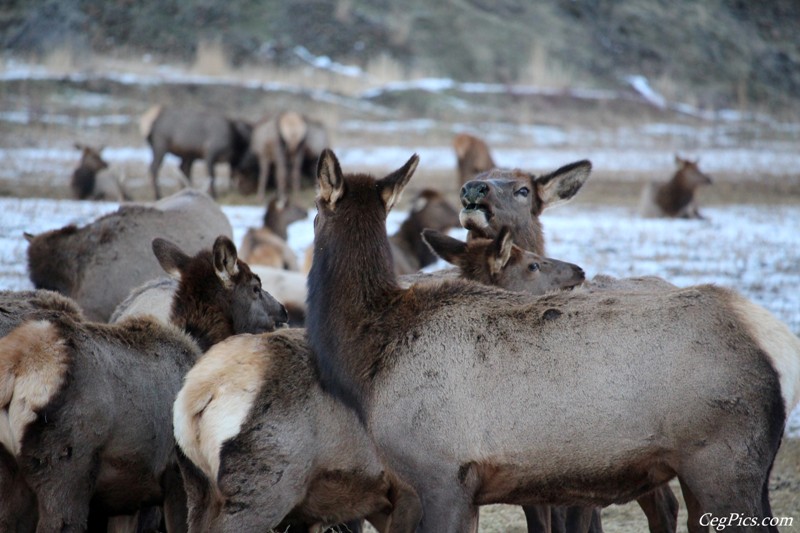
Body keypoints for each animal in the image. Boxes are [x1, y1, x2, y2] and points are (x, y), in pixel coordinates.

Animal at [0, 236, 288, 532]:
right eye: (256, 287)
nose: (284, 311)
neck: (200, 343)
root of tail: (17, 371)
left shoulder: (128, 493)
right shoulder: (176, 473)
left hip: (11, 476)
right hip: (67, 465)